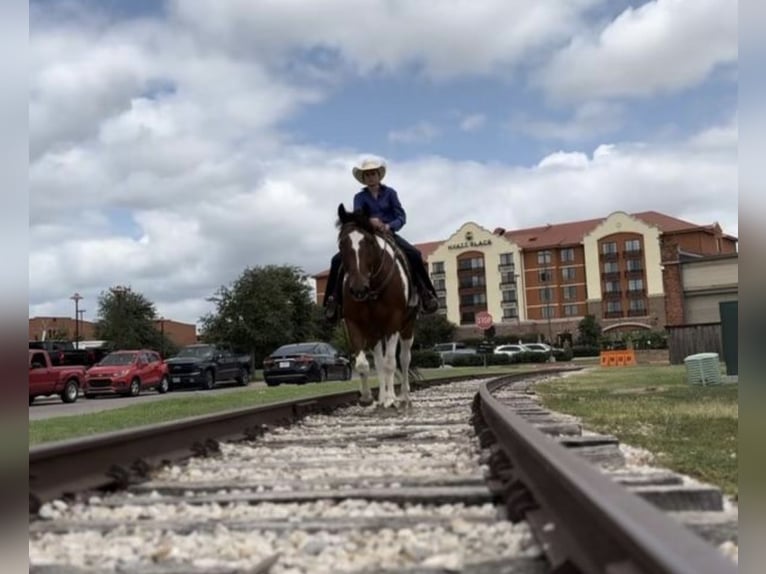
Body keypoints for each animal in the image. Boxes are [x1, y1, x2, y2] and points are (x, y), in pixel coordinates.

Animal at [338, 202, 420, 410]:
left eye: (369, 242)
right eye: (341, 244)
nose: (358, 288)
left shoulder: (394, 323)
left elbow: (392, 363)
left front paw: (391, 398)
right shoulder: (354, 323)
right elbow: (364, 364)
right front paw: (368, 396)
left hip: (407, 327)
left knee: (404, 359)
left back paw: (403, 396)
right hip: (375, 332)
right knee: (379, 361)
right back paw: (382, 397)